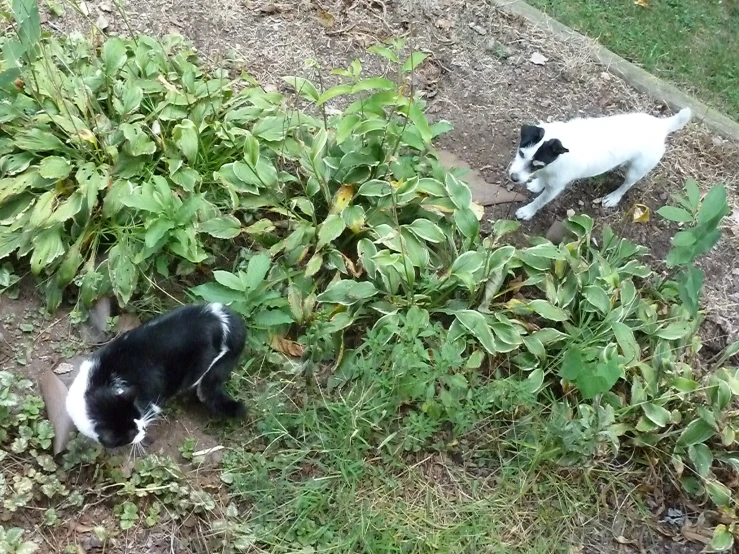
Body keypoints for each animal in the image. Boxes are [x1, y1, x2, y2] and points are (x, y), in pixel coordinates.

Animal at [66, 302, 246, 448]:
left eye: (138, 417)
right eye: (131, 433)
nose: (143, 430)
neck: (98, 386)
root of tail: (219, 317)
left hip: (198, 367)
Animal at [508, 108, 692, 220]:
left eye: (537, 164)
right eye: (521, 154)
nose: (513, 178)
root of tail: (661, 125)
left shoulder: (555, 186)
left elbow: (540, 201)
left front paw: (527, 211)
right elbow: (541, 181)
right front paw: (537, 184)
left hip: (637, 169)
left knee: (627, 184)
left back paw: (613, 197)